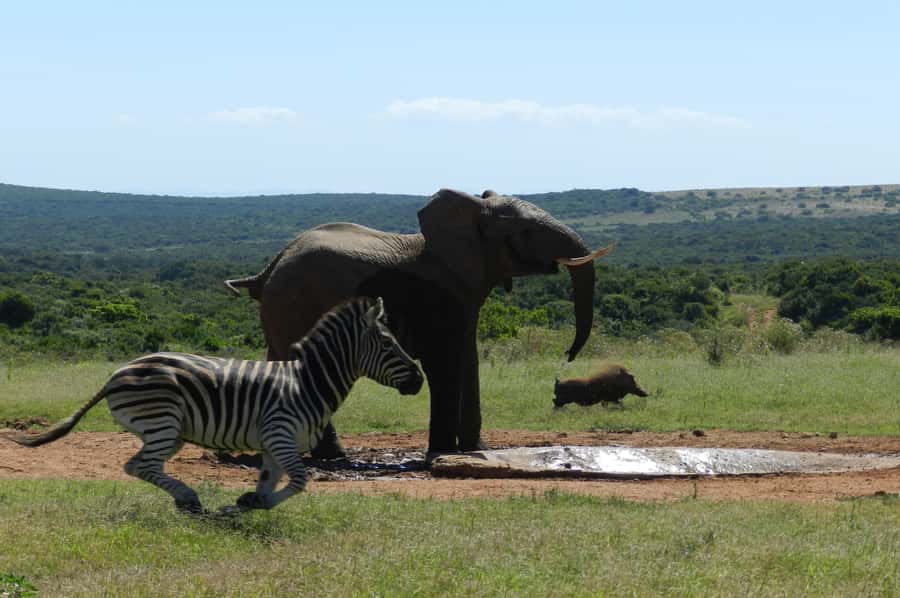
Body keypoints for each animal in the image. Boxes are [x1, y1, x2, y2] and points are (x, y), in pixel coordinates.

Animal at [224, 188, 613, 456]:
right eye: (527, 232)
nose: (568, 356)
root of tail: (273, 264)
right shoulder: (440, 297)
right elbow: (445, 361)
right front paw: (442, 453)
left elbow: (468, 359)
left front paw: (475, 451)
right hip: (297, 302)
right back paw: (331, 456)